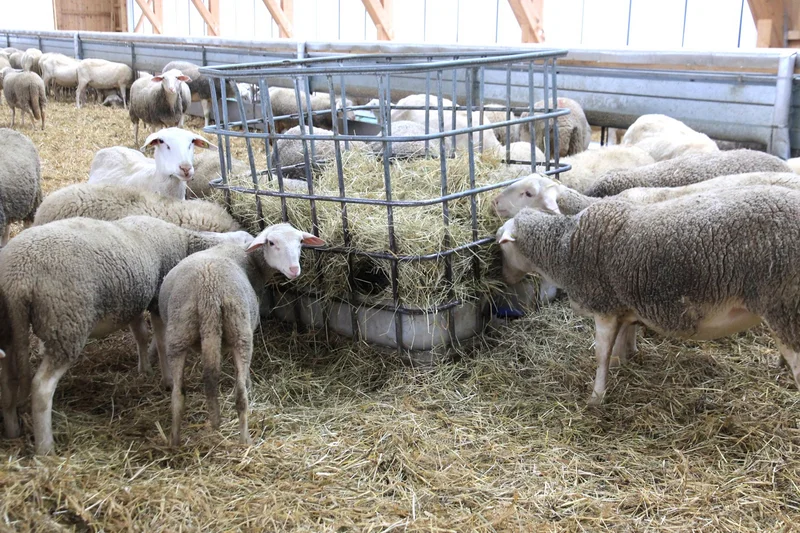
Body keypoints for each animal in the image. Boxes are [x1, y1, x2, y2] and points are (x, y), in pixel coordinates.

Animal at [0, 215, 254, 454]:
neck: (186, 242)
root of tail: (16, 278)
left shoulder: (135, 297)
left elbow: (140, 334)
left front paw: (144, 369)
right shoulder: (156, 299)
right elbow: (160, 341)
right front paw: (167, 379)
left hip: (11, 329)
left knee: (8, 381)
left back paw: (12, 429)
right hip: (66, 323)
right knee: (41, 387)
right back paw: (46, 447)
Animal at [161, 223, 326, 446]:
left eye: (300, 242)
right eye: (271, 243)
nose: (294, 270)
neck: (251, 258)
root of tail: (208, 293)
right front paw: (249, 382)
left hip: (177, 336)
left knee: (178, 396)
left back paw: (174, 442)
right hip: (241, 331)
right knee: (241, 395)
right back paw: (246, 441)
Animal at [496, 186, 800, 405]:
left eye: (501, 246)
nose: (503, 279)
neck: (563, 249)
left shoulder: (604, 307)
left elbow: (601, 355)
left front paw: (595, 398)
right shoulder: (623, 306)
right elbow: (620, 345)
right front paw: (623, 365)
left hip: (786, 308)